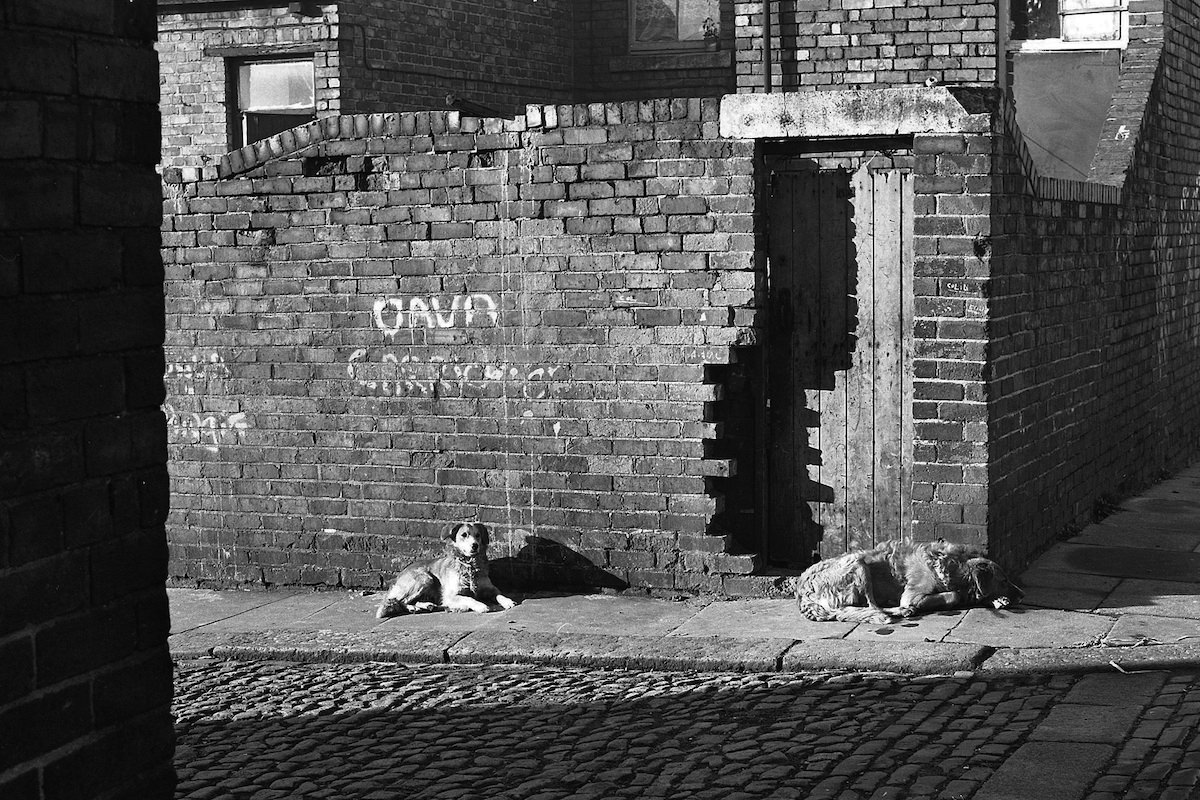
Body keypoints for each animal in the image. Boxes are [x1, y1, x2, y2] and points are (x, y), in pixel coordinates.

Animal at [374, 525, 516, 618]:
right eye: (464, 535)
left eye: (478, 535)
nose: (475, 545)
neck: (469, 566)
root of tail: (399, 575)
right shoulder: (451, 595)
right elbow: (469, 598)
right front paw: (481, 606)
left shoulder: (490, 588)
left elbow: (499, 594)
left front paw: (508, 601)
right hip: (425, 578)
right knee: (401, 601)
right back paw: (413, 608)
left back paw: (427, 605)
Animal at [796, 537, 1022, 623]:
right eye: (1003, 580)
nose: (1023, 594)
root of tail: (801, 591)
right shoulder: (912, 595)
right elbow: (954, 595)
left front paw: (997, 600)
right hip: (858, 563)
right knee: (871, 608)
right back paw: (901, 611)